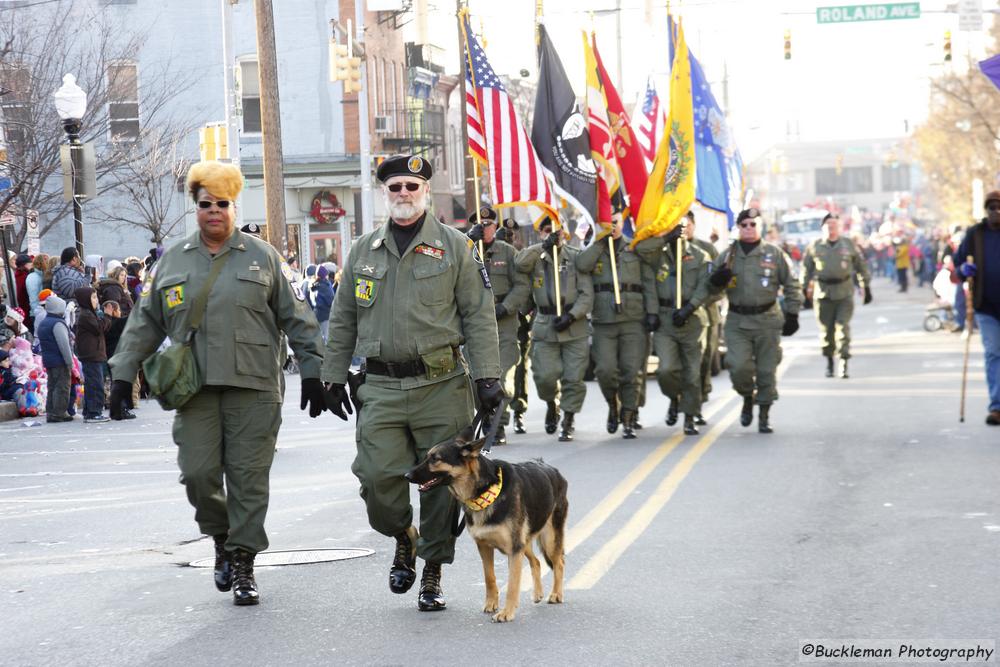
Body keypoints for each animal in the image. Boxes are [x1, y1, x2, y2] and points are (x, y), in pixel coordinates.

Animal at [402, 430, 568, 624]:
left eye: (435, 458)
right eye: (427, 457)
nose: (406, 476)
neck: (485, 491)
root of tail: (550, 468)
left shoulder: (514, 550)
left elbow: (513, 584)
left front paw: (507, 612)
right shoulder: (485, 547)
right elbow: (489, 577)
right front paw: (491, 604)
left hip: (549, 539)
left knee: (559, 563)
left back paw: (556, 594)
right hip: (525, 542)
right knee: (536, 561)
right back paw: (538, 594)